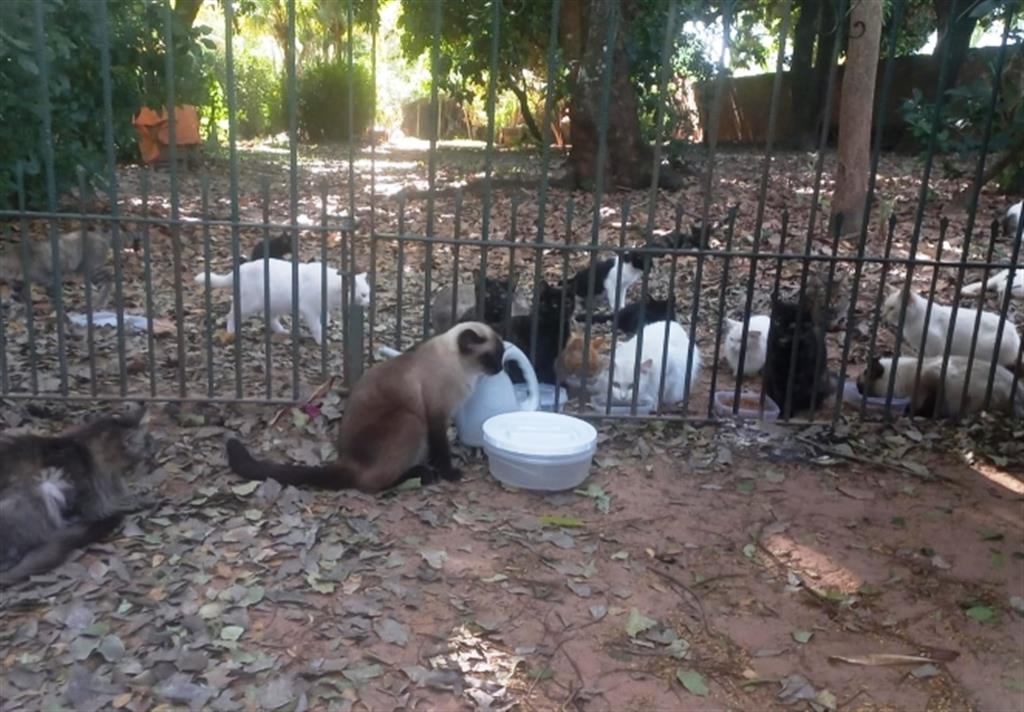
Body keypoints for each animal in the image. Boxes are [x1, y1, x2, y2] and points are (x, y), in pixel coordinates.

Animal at [0, 403, 152, 585]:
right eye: (146, 455)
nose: (154, 456)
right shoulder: (87, 493)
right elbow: (104, 506)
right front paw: (135, 501)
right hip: (41, 488)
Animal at [193, 257, 370, 346]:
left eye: (368, 294)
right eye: (363, 295)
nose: (369, 303)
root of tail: (240, 269)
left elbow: (325, 315)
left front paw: (326, 321)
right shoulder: (308, 309)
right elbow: (316, 327)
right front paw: (322, 340)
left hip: (276, 304)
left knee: (269, 318)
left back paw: (282, 331)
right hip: (249, 304)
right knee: (231, 314)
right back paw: (230, 332)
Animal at [228, 321, 507, 493]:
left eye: (502, 355)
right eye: (491, 357)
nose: (500, 368)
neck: (461, 370)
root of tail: (346, 461)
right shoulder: (436, 416)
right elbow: (442, 449)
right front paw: (449, 472)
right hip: (410, 419)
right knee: (370, 484)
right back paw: (422, 475)